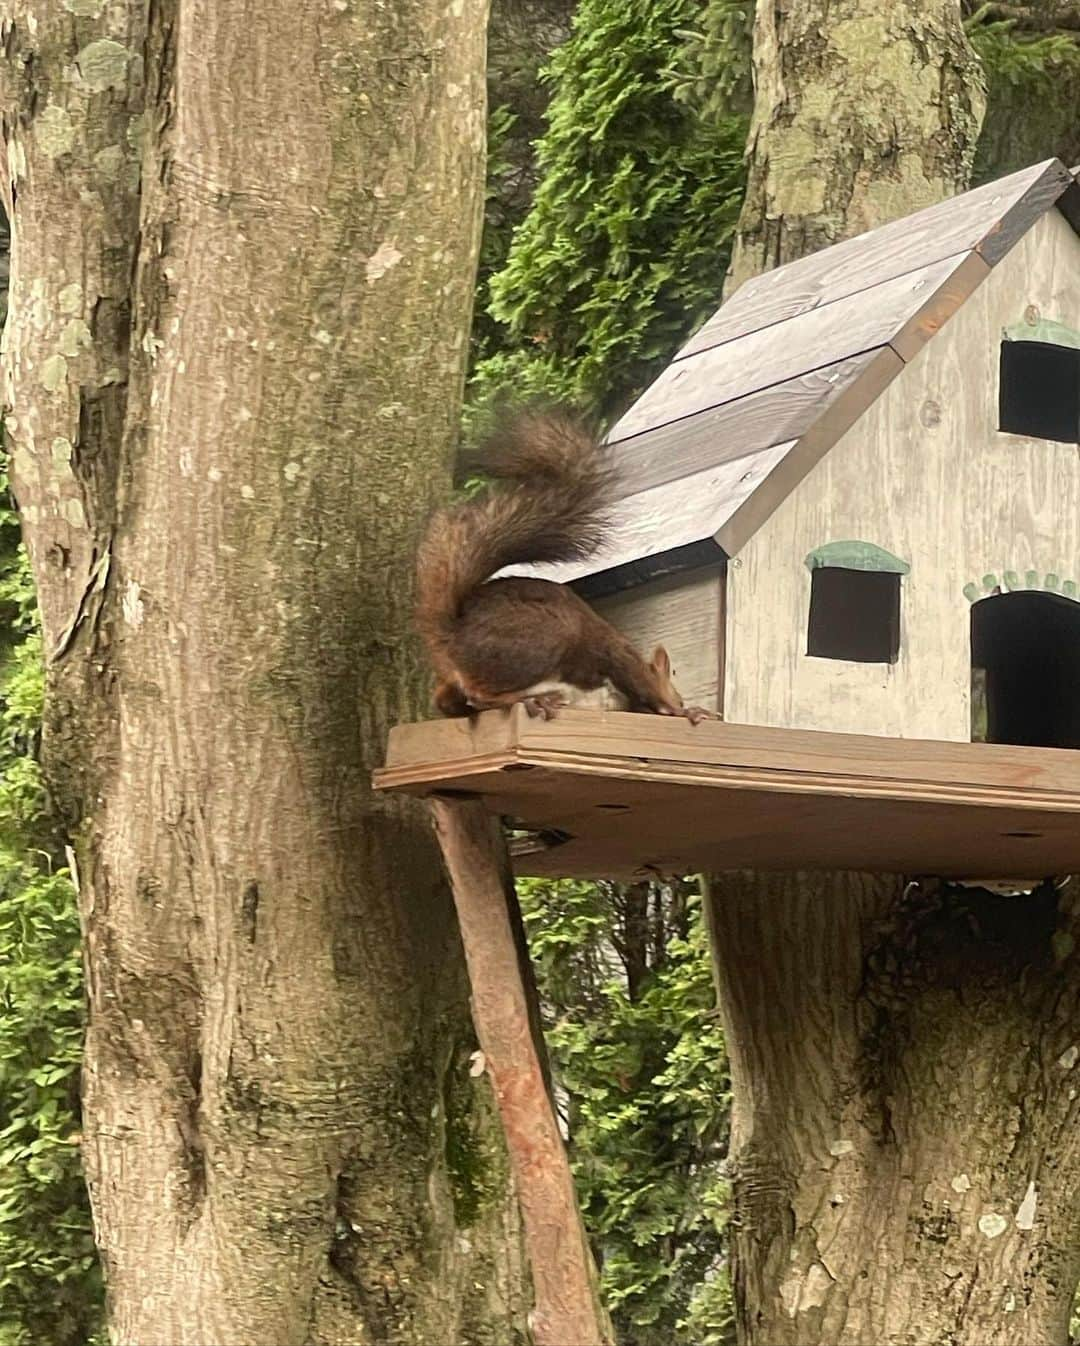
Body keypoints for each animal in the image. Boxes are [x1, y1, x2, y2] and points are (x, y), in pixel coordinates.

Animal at [412, 409, 705, 726]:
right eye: (679, 695)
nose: (682, 701)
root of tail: (451, 638)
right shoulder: (619, 655)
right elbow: (645, 686)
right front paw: (685, 711)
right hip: (544, 638)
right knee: (478, 694)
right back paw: (530, 700)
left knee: (448, 701)